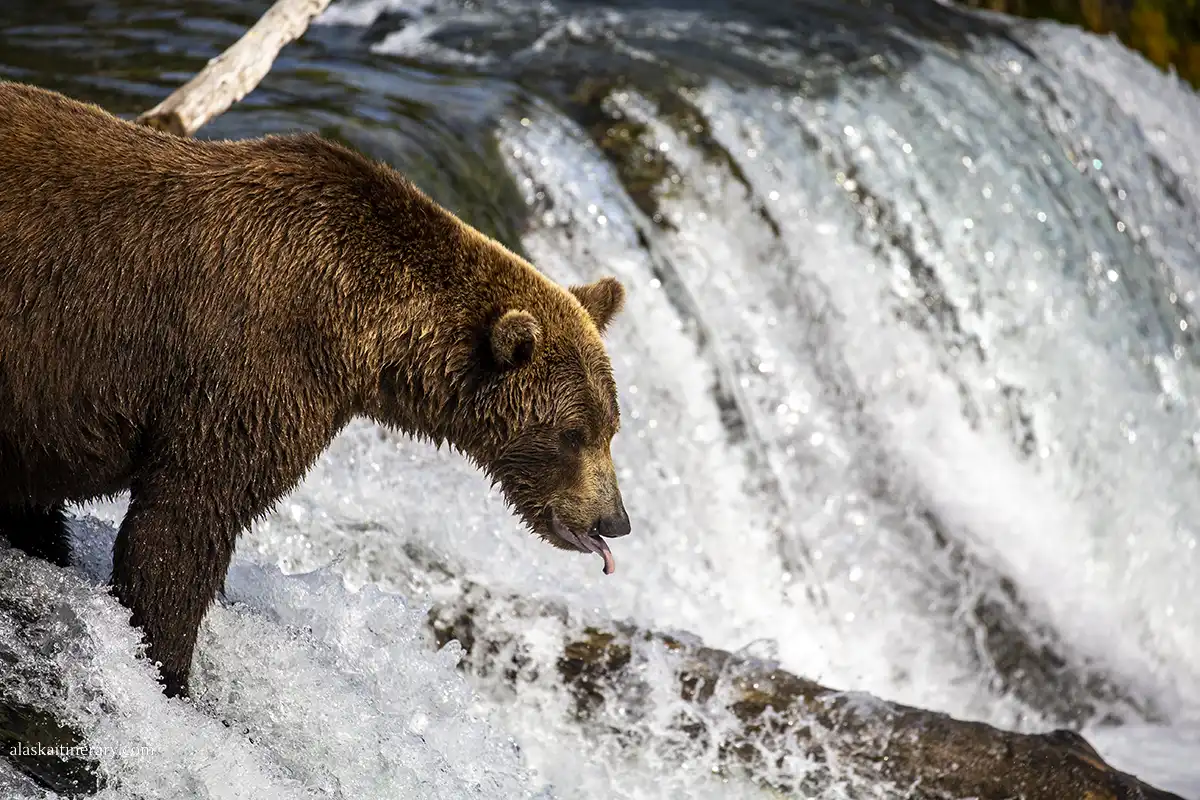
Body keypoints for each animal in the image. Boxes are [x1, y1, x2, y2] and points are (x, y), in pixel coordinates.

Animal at [0, 81, 632, 699]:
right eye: (573, 433)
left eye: (611, 428)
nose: (615, 521)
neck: (362, 328)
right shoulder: (247, 370)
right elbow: (183, 523)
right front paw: (167, 669)